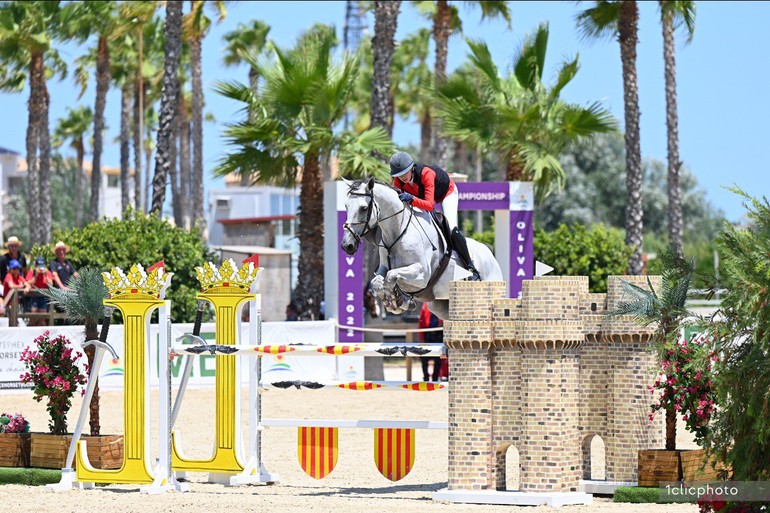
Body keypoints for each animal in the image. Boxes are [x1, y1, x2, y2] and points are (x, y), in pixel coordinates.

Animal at [340, 178, 500, 318]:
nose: (347, 245)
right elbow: (377, 282)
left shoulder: (422, 274)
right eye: (346, 206)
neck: (398, 231)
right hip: (442, 306)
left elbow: (391, 276)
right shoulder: (382, 269)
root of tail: (488, 250)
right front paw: (395, 301)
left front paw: (396, 301)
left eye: (363, 208)